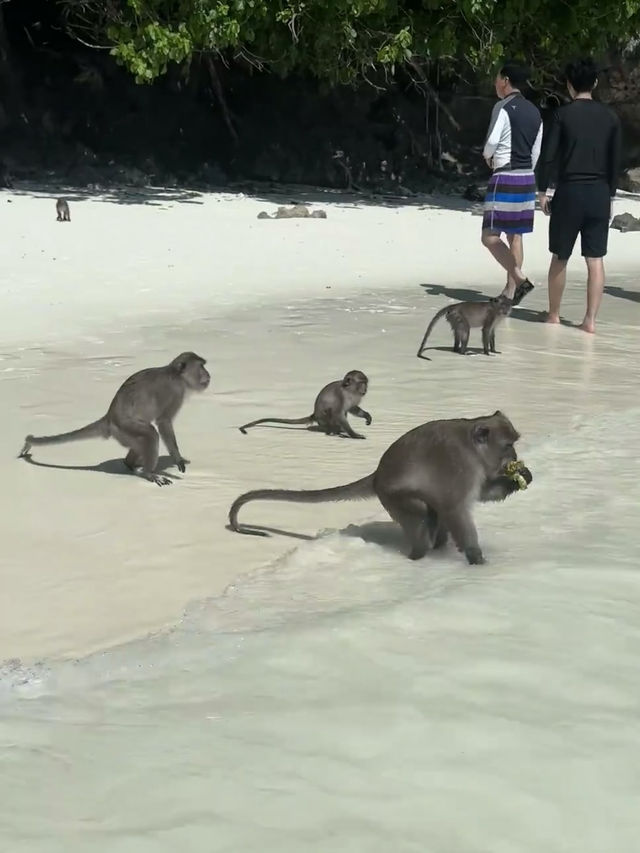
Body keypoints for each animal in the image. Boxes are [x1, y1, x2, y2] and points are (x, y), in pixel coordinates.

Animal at [18, 352, 210, 486]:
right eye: (201, 366)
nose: (208, 374)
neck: (176, 374)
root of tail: (110, 417)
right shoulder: (175, 392)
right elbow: (163, 422)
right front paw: (177, 459)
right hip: (125, 426)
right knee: (150, 434)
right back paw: (148, 473)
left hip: (123, 433)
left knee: (143, 440)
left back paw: (130, 464)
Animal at [228, 410, 532, 564]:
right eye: (508, 445)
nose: (515, 457)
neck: (472, 449)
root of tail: (377, 476)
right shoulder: (461, 467)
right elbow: (455, 508)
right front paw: (476, 558)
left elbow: (478, 496)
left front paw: (518, 478)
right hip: (395, 498)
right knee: (423, 516)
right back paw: (419, 556)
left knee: (433, 515)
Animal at [239, 370, 370, 442]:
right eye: (361, 383)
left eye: (365, 383)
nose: (365, 390)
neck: (350, 390)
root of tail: (315, 415)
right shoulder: (341, 396)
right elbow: (338, 413)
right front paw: (354, 435)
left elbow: (353, 409)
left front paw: (367, 416)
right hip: (324, 420)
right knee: (330, 412)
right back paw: (333, 432)